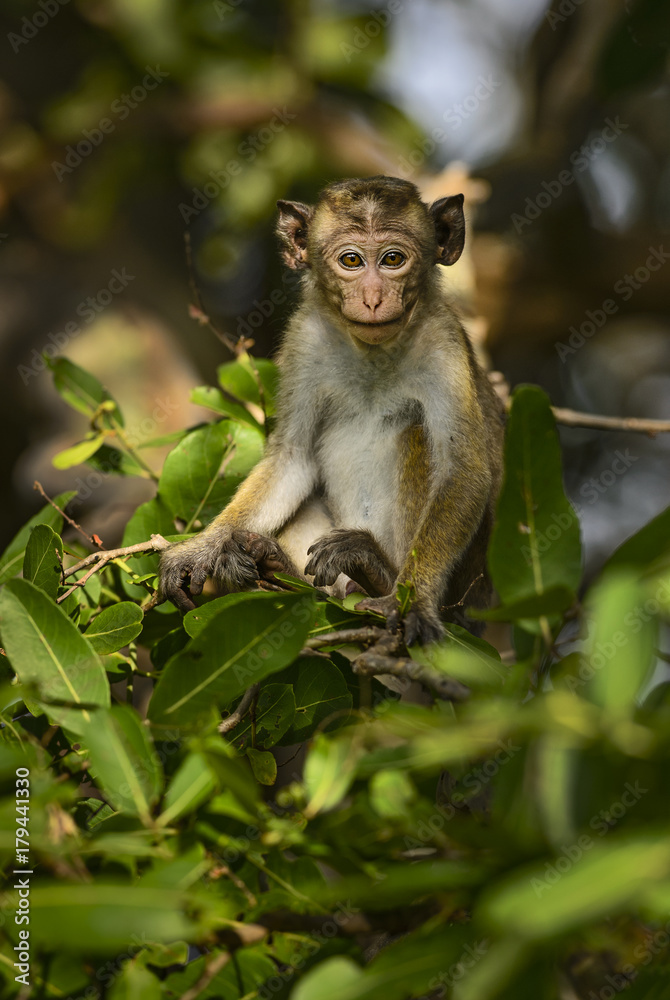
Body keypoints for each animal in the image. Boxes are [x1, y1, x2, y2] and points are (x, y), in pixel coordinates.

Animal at [159, 176, 505, 644]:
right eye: (351, 260)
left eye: (393, 259)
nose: (374, 297)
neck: (373, 352)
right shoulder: (305, 340)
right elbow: (292, 458)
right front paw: (204, 546)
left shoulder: (444, 344)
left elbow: (464, 470)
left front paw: (412, 600)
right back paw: (275, 566)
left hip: (465, 593)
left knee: (417, 433)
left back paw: (378, 571)